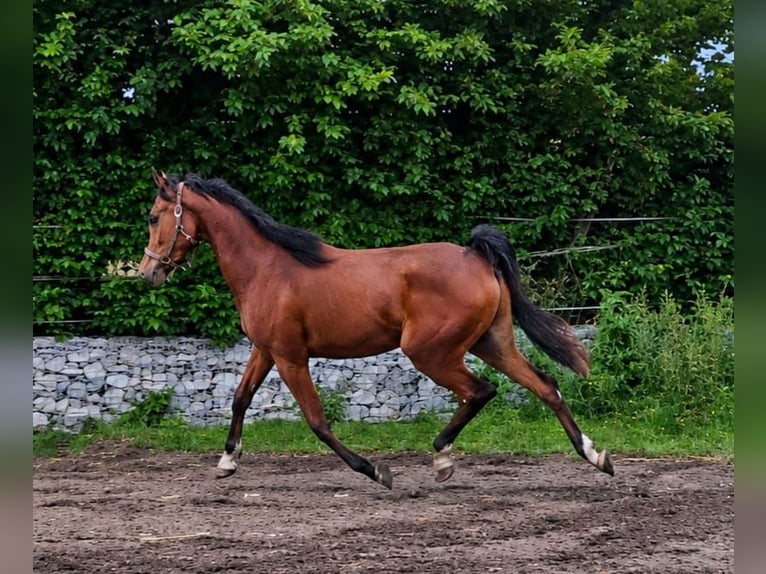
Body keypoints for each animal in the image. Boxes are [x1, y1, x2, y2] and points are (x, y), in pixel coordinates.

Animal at [138, 169, 614, 489]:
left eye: (153, 216)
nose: (147, 273)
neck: (268, 268)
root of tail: (475, 255)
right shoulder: (265, 350)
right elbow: (239, 399)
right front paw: (226, 461)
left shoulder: (291, 357)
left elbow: (317, 421)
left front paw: (376, 470)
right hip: (490, 342)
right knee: (545, 384)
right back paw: (596, 455)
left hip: (431, 351)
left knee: (481, 391)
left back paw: (443, 459)